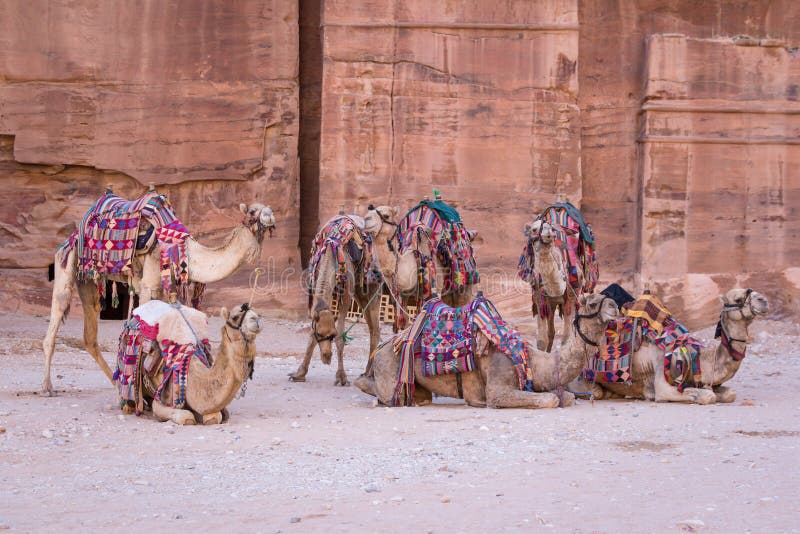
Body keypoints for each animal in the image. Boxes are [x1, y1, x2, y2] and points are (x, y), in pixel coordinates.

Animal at [43, 199, 276, 396]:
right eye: (253, 210)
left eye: (267, 207)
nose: (270, 214)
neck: (186, 252)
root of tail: (73, 234)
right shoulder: (149, 283)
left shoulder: (169, 288)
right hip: (67, 260)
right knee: (58, 308)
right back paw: (47, 387)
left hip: (88, 279)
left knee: (90, 333)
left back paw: (116, 384)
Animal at [120, 302, 260, 428]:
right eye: (235, 317)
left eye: (257, 313)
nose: (256, 319)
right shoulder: (162, 401)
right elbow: (186, 417)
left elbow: (215, 417)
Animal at [290, 205, 398, 386]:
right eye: (320, 334)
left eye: (331, 335)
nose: (326, 358)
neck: (330, 250)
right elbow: (310, 333)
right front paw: (299, 373)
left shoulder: (346, 295)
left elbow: (342, 335)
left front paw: (341, 377)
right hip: (360, 293)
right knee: (371, 327)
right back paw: (366, 371)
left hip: (372, 285)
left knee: (376, 329)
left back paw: (370, 373)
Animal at [354, 294, 620, 410]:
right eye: (592, 302)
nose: (615, 306)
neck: (532, 359)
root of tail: (382, 349)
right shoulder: (498, 387)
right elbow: (551, 399)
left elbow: (567, 397)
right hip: (390, 369)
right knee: (380, 390)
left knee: (420, 396)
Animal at [576, 288, 768, 406]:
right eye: (738, 298)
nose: (764, 300)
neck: (697, 356)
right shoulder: (662, 372)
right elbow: (707, 396)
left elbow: (729, 394)